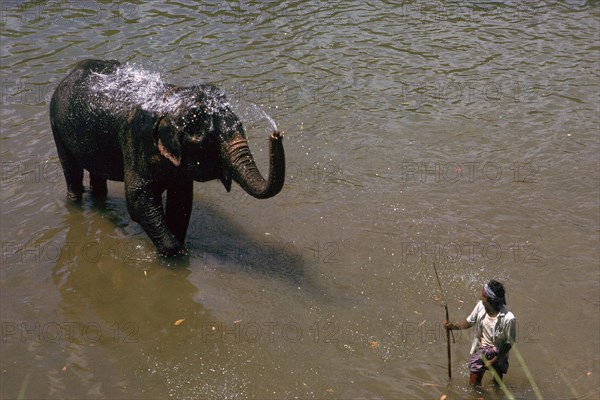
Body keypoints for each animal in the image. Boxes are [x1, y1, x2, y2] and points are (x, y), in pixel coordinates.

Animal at [49, 61, 286, 258]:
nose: (276, 133)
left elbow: (181, 201)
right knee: (71, 170)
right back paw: (75, 203)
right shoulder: (136, 141)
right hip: (55, 123)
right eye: (209, 140)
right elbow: (137, 199)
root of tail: (68, 74)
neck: (172, 101)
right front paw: (174, 253)